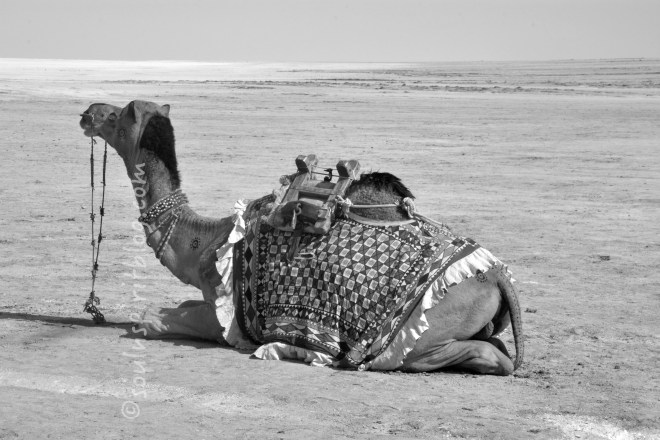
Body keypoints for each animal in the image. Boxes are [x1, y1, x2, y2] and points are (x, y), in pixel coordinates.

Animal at [79, 100, 523, 375]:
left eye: (117, 115)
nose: (87, 113)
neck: (206, 242)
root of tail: (496, 275)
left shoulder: (229, 319)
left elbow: (150, 318)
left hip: (423, 334)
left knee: (478, 356)